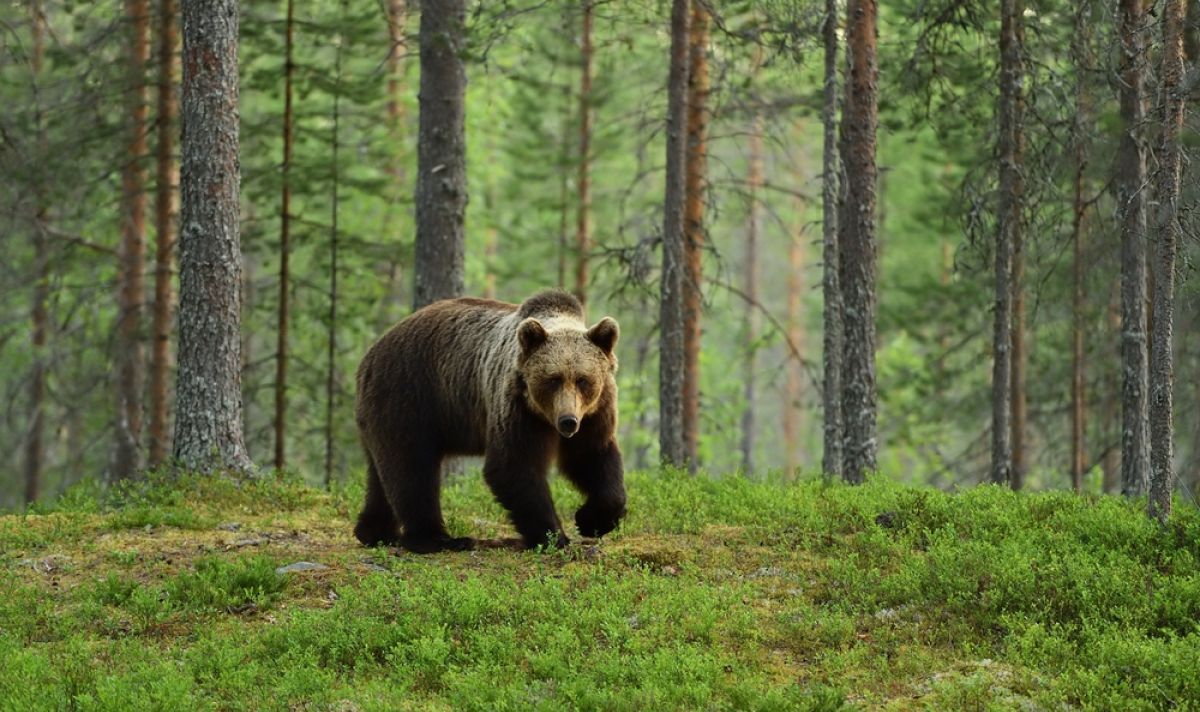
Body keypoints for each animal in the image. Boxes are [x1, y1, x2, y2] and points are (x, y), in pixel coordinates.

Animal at [352, 286, 628, 549]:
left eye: (583, 380)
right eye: (553, 379)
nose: (568, 421)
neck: (545, 417)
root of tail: (369, 355)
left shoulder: (594, 413)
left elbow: (592, 456)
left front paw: (591, 520)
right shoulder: (517, 407)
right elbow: (513, 464)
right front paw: (553, 536)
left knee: (381, 473)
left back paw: (374, 533)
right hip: (410, 397)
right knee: (412, 469)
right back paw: (437, 539)